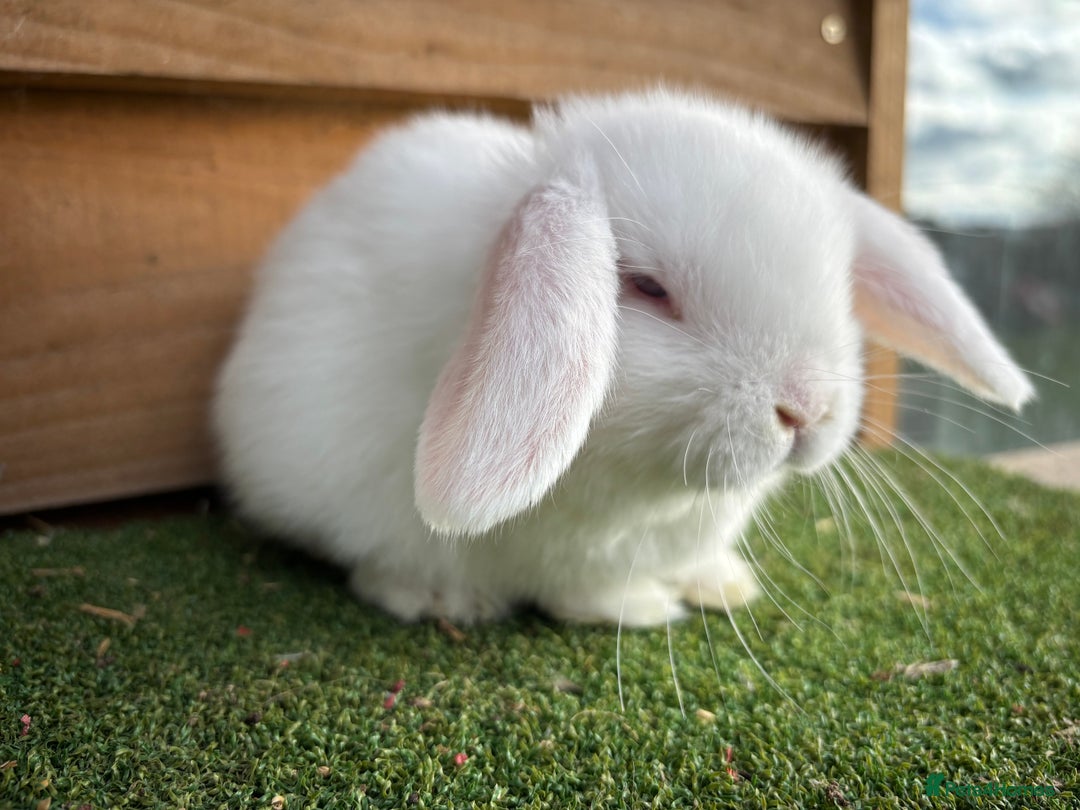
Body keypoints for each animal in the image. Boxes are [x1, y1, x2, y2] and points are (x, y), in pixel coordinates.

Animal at [212, 89, 1033, 627]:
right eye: (646, 287)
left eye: (839, 286)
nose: (806, 409)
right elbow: (588, 597)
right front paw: (647, 608)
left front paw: (720, 586)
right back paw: (441, 597)